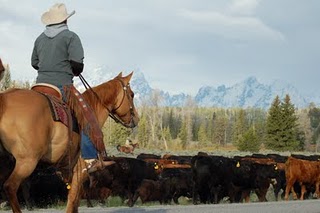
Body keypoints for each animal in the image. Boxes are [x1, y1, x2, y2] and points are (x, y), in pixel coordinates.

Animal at [0, 72, 139, 213]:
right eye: (132, 94)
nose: (137, 118)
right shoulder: (80, 172)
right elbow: (72, 202)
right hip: (27, 161)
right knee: (10, 186)